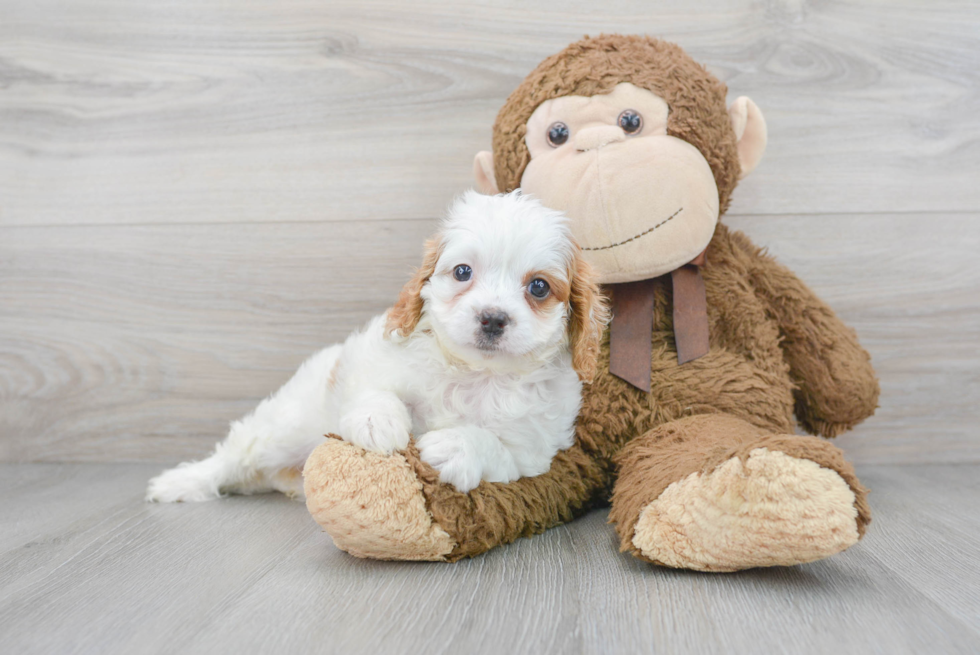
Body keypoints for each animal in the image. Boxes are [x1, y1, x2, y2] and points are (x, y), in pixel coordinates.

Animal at [147, 191, 604, 502]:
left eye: (539, 287)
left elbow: (497, 448)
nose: (492, 318)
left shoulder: (533, 450)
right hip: (288, 424)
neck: (476, 373)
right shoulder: (373, 360)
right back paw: (180, 482)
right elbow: (375, 391)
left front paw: (457, 445)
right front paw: (377, 421)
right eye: (462, 272)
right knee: (236, 455)